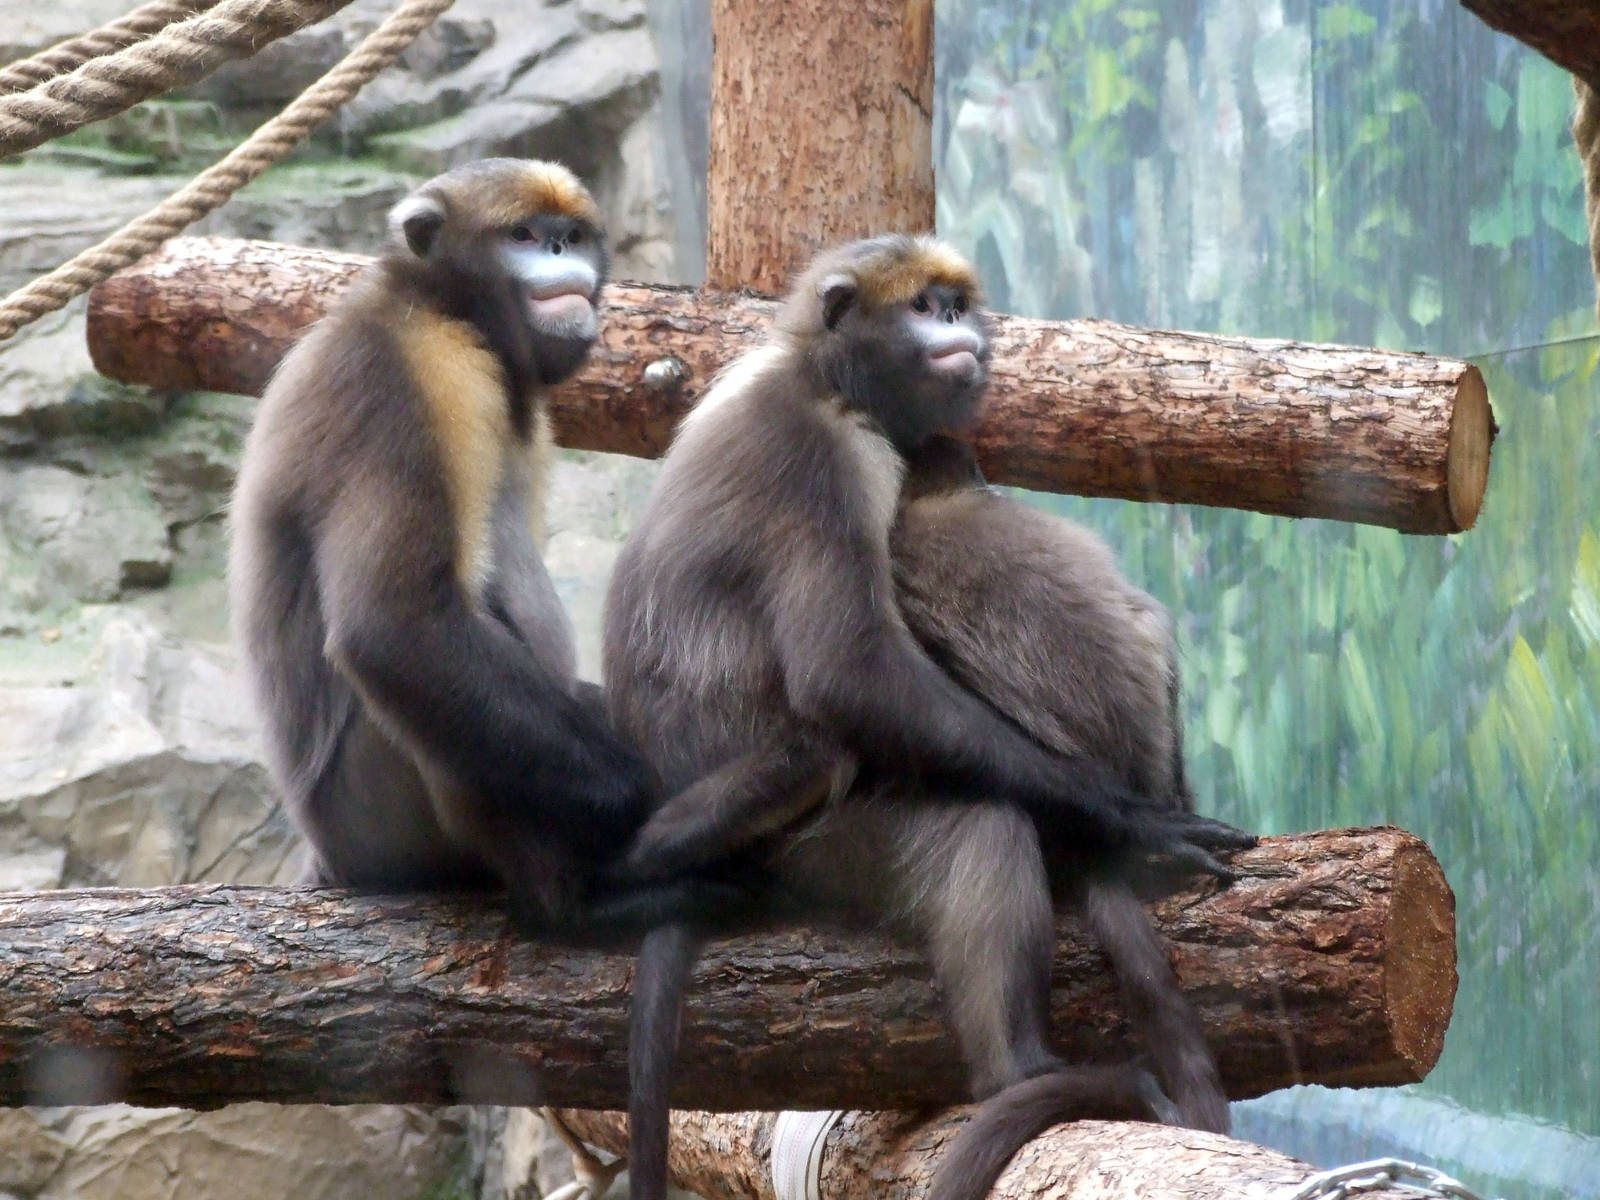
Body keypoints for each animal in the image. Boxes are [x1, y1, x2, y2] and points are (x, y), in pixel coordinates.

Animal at [229, 158, 743, 939]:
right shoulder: (411, 373)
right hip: (379, 821)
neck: (448, 310)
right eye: (523, 236)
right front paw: (638, 802)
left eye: (569, 236)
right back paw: (568, 907)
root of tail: (330, 857)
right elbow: (395, 626)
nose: (557, 252)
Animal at [601, 235, 1253, 1200]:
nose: (958, 333)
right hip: (817, 848)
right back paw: (1024, 1073)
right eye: (923, 309)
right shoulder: (828, 453)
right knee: (978, 824)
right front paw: (1135, 821)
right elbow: (850, 673)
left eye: (952, 307)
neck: (814, 371)